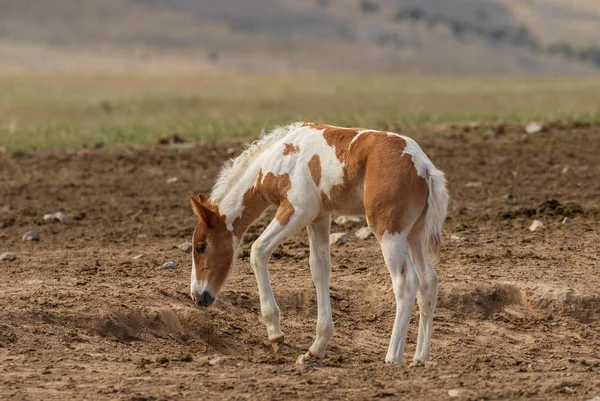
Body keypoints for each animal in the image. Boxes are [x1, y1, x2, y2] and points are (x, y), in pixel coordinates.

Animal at [190, 121, 448, 362]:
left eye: (201, 246)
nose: (197, 296)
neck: (277, 159)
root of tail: (425, 167)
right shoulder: (319, 217)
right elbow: (319, 269)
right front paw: (317, 346)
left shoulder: (298, 210)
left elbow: (257, 250)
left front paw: (275, 332)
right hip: (414, 235)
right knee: (428, 282)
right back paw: (420, 358)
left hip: (388, 233)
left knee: (406, 284)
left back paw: (392, 357)